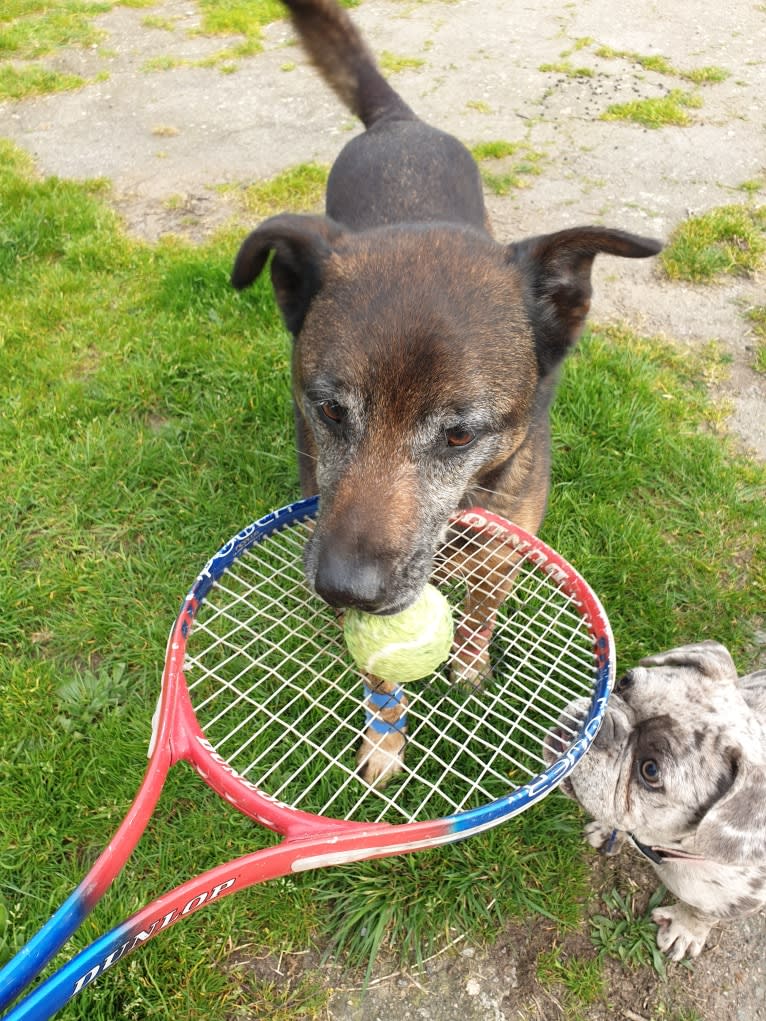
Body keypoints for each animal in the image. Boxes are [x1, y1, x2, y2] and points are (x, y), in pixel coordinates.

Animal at [230, 0, 661, 788]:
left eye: (460, 434)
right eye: (329, 409)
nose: (343, 589)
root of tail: (398, 122)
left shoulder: (505, 544)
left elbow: (484, 608)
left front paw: (470, 660)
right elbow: (379, 676)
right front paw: (384, 741)